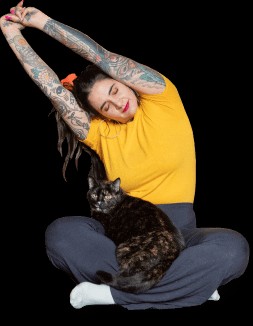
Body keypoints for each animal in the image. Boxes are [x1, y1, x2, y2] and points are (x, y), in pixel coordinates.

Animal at [83, 145, 186, 292]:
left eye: (107, 196)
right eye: (94, 195)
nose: (99, 203)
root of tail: (172, 253)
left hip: (125, 250)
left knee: (125, 278)